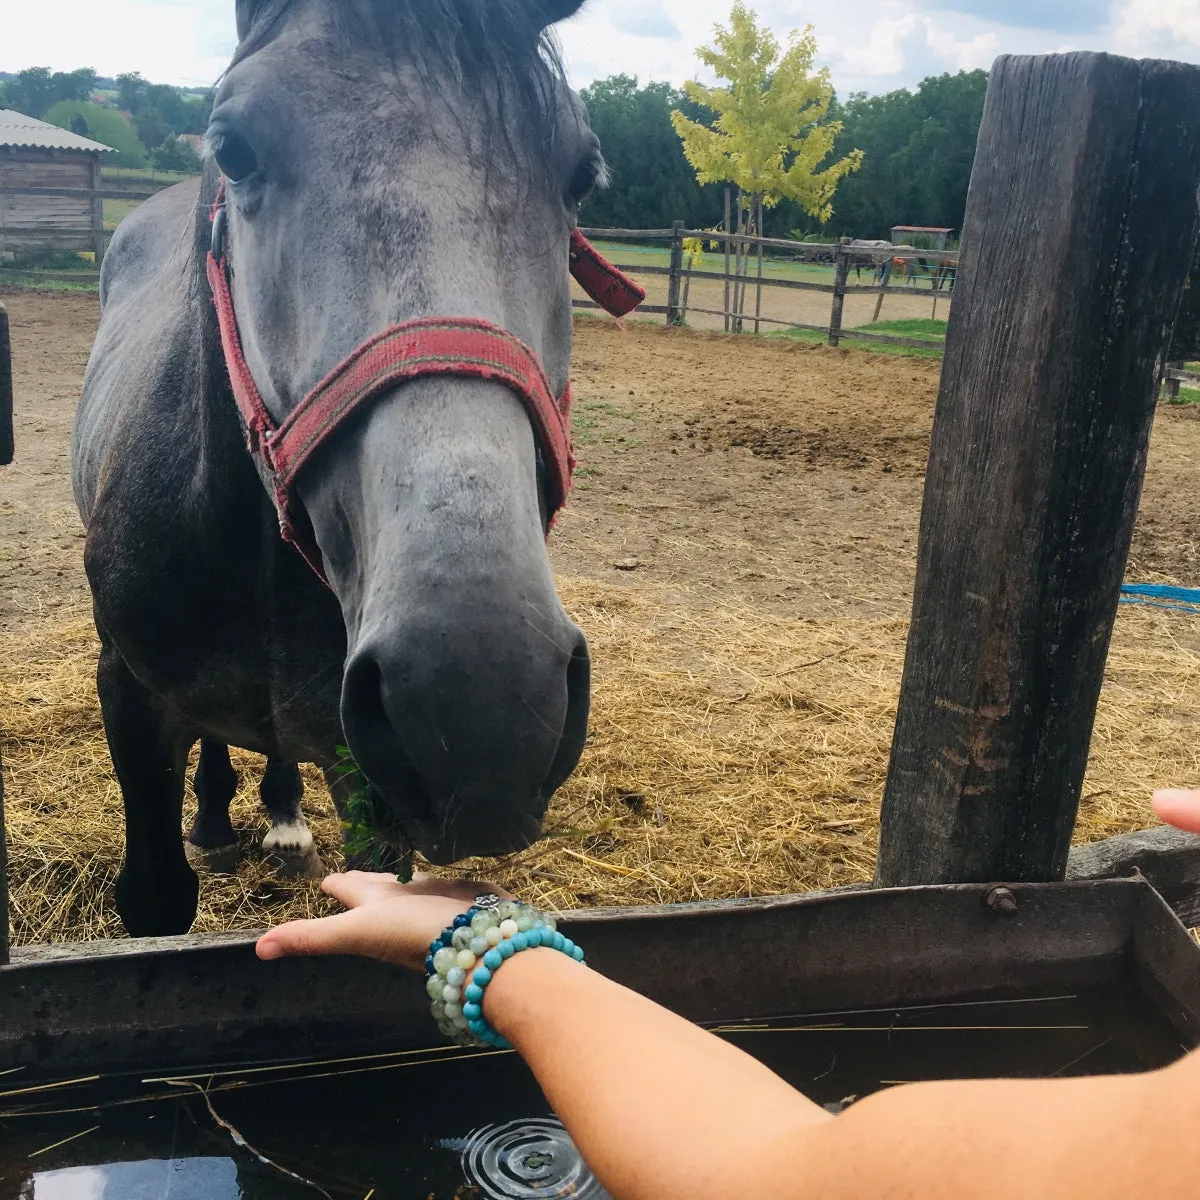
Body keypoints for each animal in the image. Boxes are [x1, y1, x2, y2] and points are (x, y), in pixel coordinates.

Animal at [69, 0, 604, 936]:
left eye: (581, 174)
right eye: (234, 149)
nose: (480, 696)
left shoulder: (369, 778)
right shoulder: (127, 695)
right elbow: (157, 895)